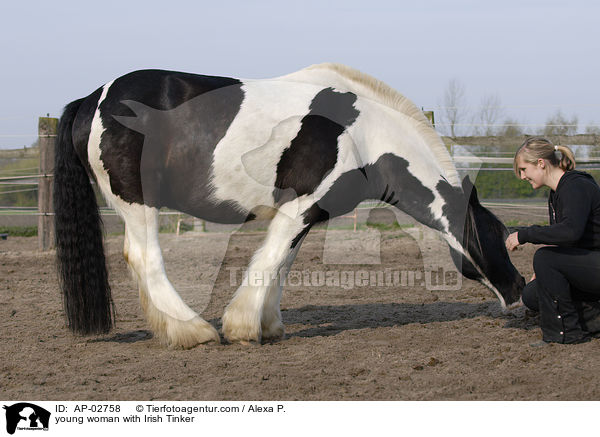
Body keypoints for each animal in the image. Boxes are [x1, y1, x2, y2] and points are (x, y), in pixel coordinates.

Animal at [56, 63, 524, 348]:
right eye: (499, 234)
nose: (520, 288)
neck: (362, 134)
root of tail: (93, 99)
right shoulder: (301, 206)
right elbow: (269, 261)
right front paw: (242, 327)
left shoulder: (305, 215)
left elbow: (280, 264)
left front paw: (268, 325)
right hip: (139, 204)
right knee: (144, 258)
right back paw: (194, 331)